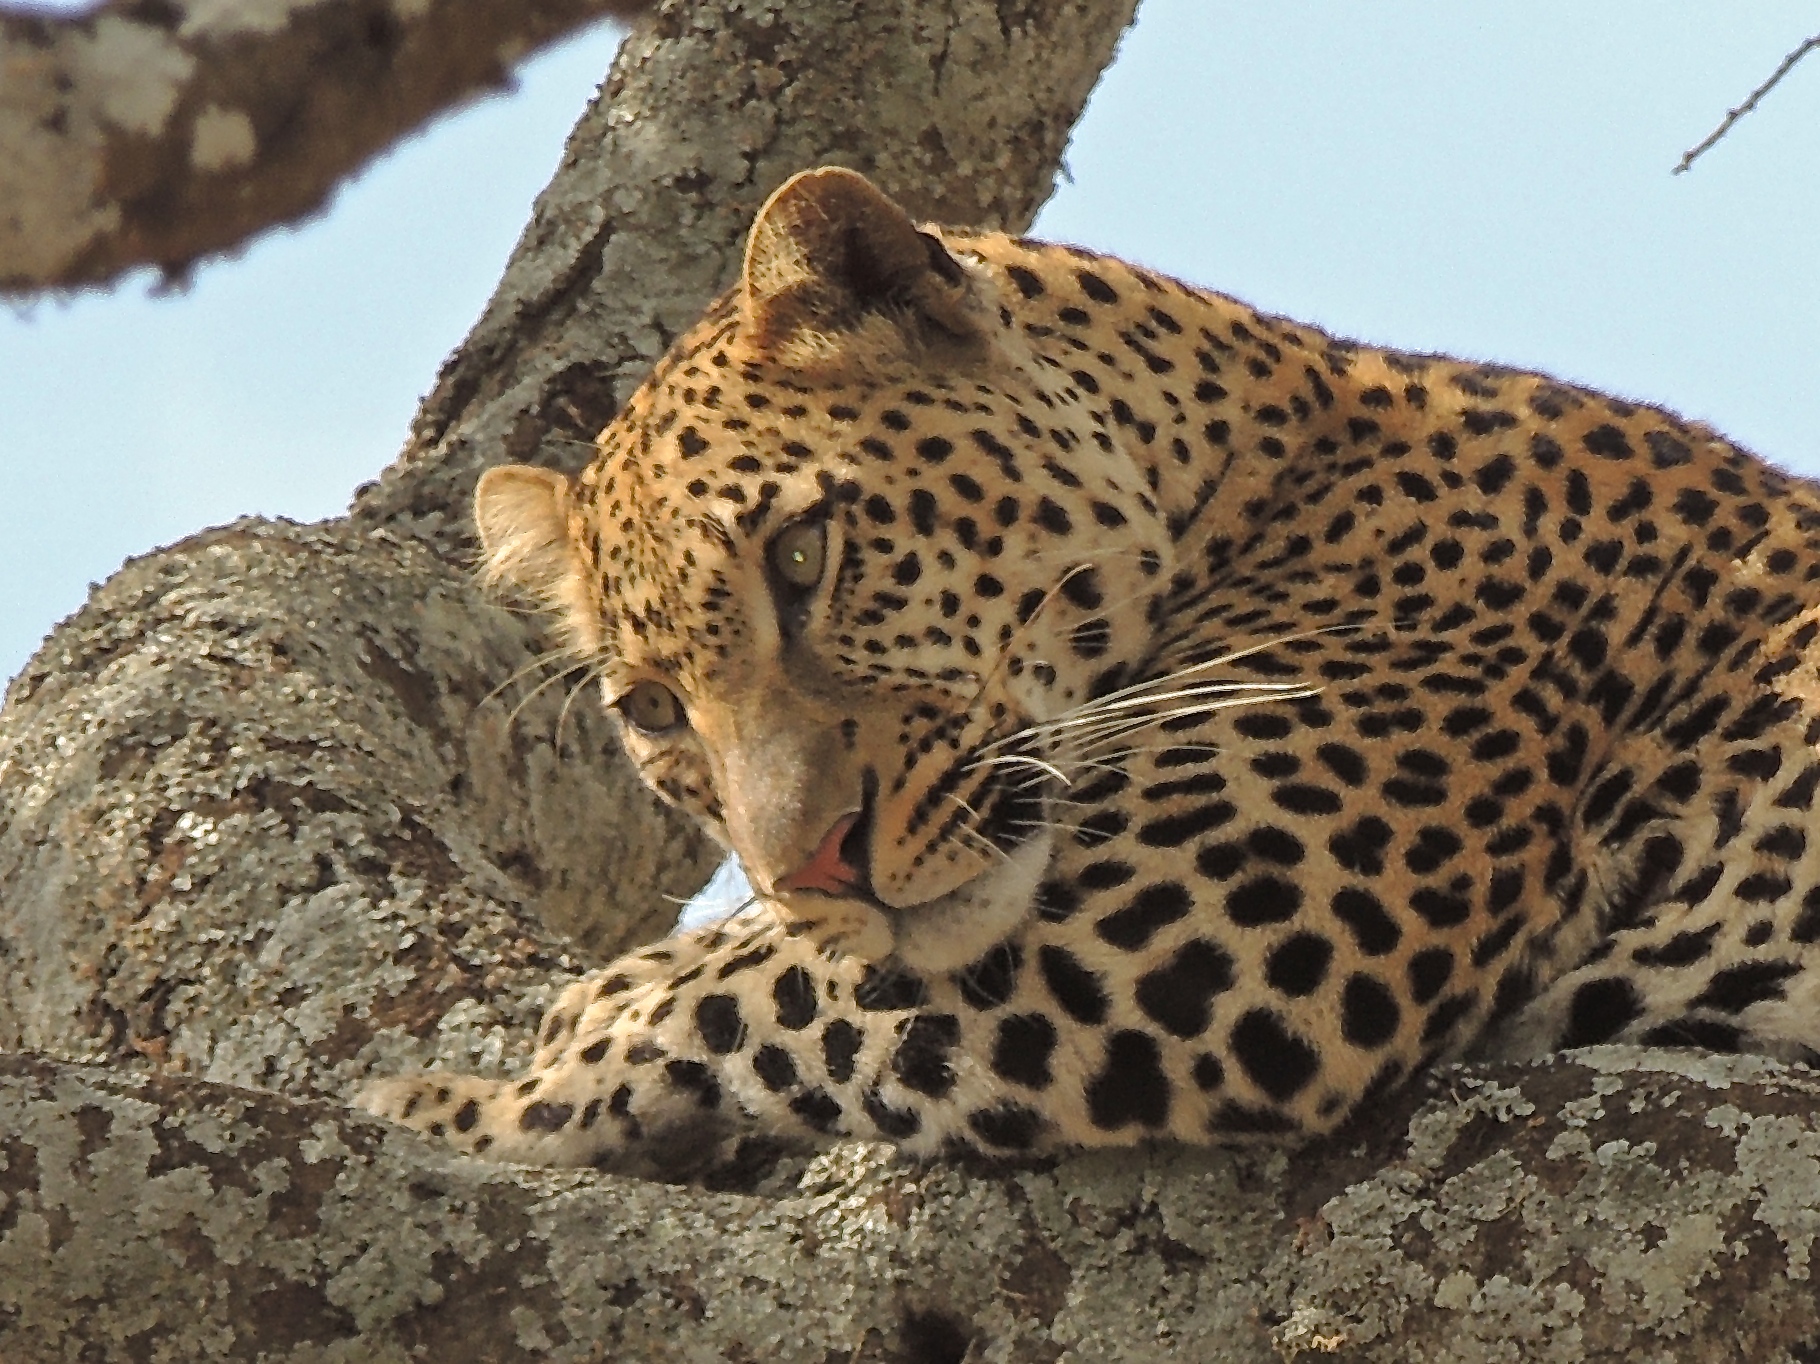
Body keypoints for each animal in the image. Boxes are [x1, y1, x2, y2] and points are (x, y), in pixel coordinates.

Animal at [362, 165, 1820, 1175]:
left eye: (803, 554)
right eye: (655, 711)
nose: (815, 867)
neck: (1268, 463)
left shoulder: (1211, 920)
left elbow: (764, 995)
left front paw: (477, 1094)